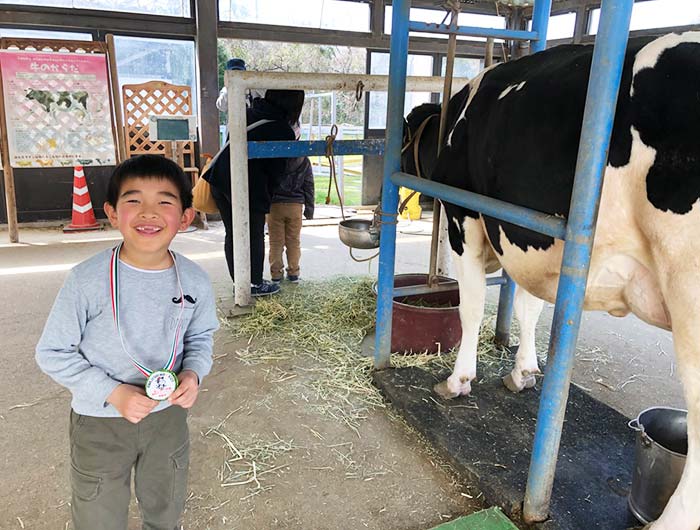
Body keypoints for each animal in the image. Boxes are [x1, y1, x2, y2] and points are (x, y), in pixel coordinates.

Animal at [402, 33, 700, 528]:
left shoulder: (468, 218)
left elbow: (471, 306)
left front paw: (459, 380)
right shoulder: (531, 239)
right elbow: (530, 306)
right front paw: (523, 371)